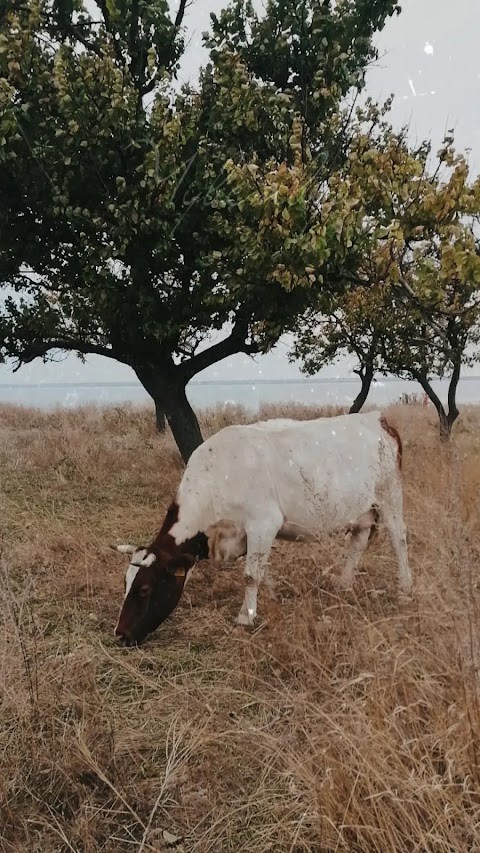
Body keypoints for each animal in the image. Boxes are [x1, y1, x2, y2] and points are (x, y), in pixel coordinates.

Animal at [111, 412, 408, 644]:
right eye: (125, 584)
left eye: (144, 589)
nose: (120, 634)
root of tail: (378, 419)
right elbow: (262, 572)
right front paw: (272, 596)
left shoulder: (263, 523)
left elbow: (250, 575)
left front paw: (246, 616)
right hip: (362, 510)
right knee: (358, 541)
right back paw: (344, 583)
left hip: (390, 496)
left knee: (399, 539)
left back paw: (405, 588)